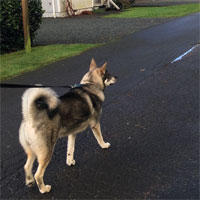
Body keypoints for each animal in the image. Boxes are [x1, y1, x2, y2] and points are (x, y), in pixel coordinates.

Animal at [18, 58, 117, 194]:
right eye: (109, 74)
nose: (117, 77)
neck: (90, 84)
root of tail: (30, 115)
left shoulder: (72, 133)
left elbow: (70, 149)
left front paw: (70, 162)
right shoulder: (95, 124)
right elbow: (99, 138)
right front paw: (104, 145)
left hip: (32, 150)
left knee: (26, 166)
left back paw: (29, 180)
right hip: (47, 151)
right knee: (38, 174)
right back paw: (44, 189)